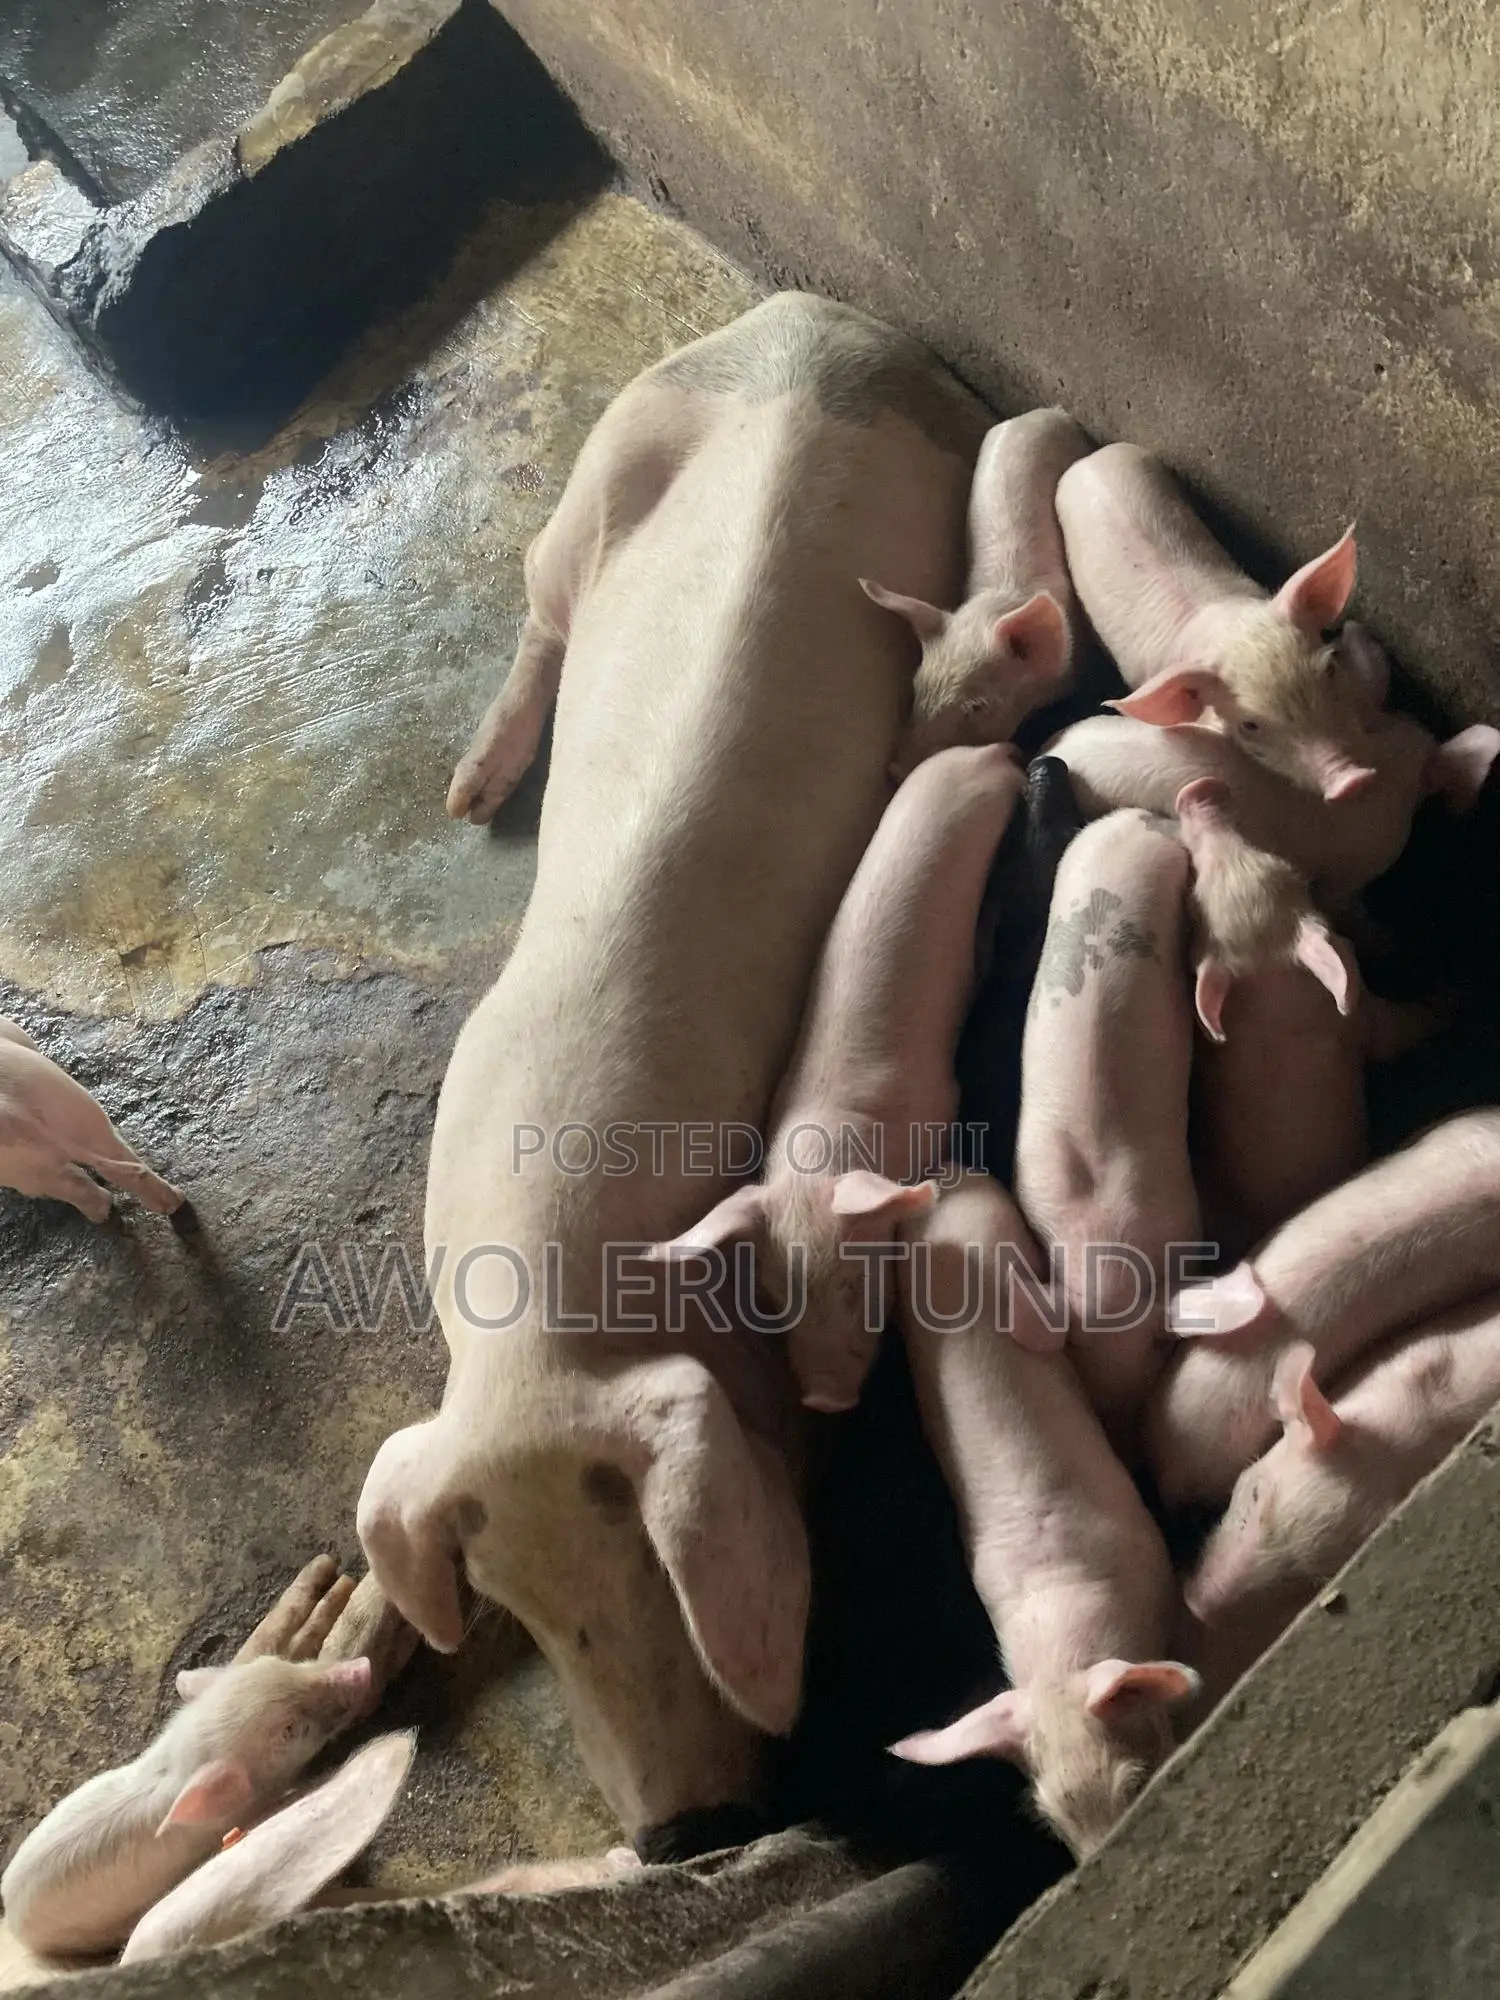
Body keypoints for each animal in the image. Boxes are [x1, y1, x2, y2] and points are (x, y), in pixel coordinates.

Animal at [0, 1016, 183, 1222]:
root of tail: (12, 1111)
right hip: (65, 1101)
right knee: (117, 1157)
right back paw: (175, 1202)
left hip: (20, 1164)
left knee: (67, 1184)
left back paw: (99, 1216)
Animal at [655, 741, 1026, 1416]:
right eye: (775, 1297)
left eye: (859, 1284)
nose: (823, 1399)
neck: (829, 1144)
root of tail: (978, 753)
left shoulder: (940, 1099)